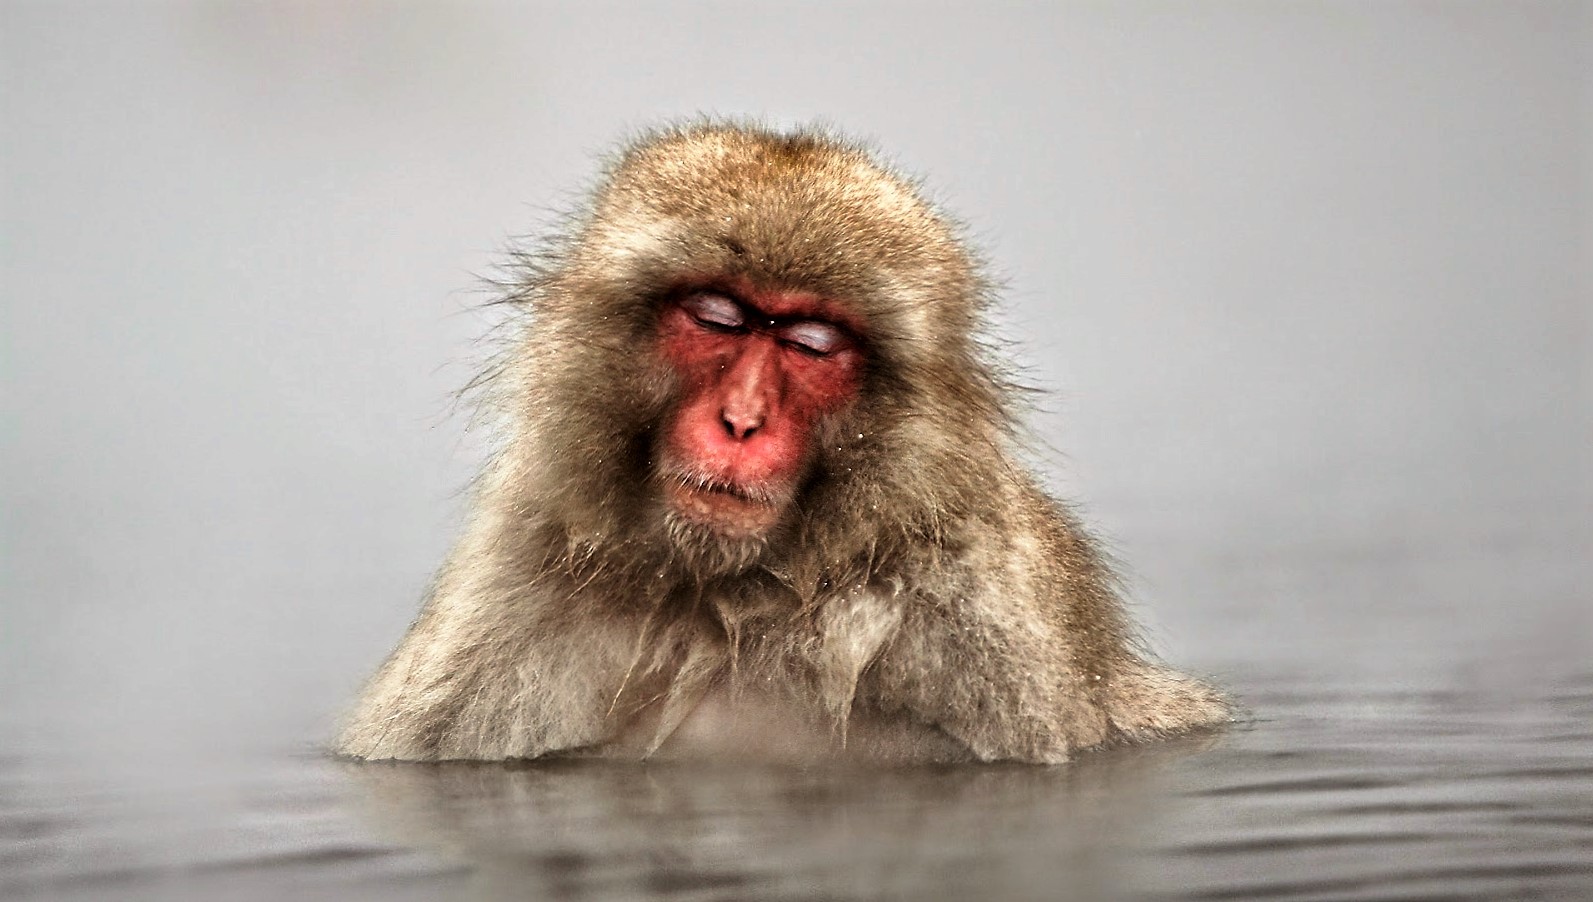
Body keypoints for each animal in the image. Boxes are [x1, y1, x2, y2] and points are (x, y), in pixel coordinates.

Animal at [336, 122, 1230, 765]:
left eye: (808, 342)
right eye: (717, 318)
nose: (741, 420)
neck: (726, 600)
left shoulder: (992, 626)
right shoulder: (508, 597)